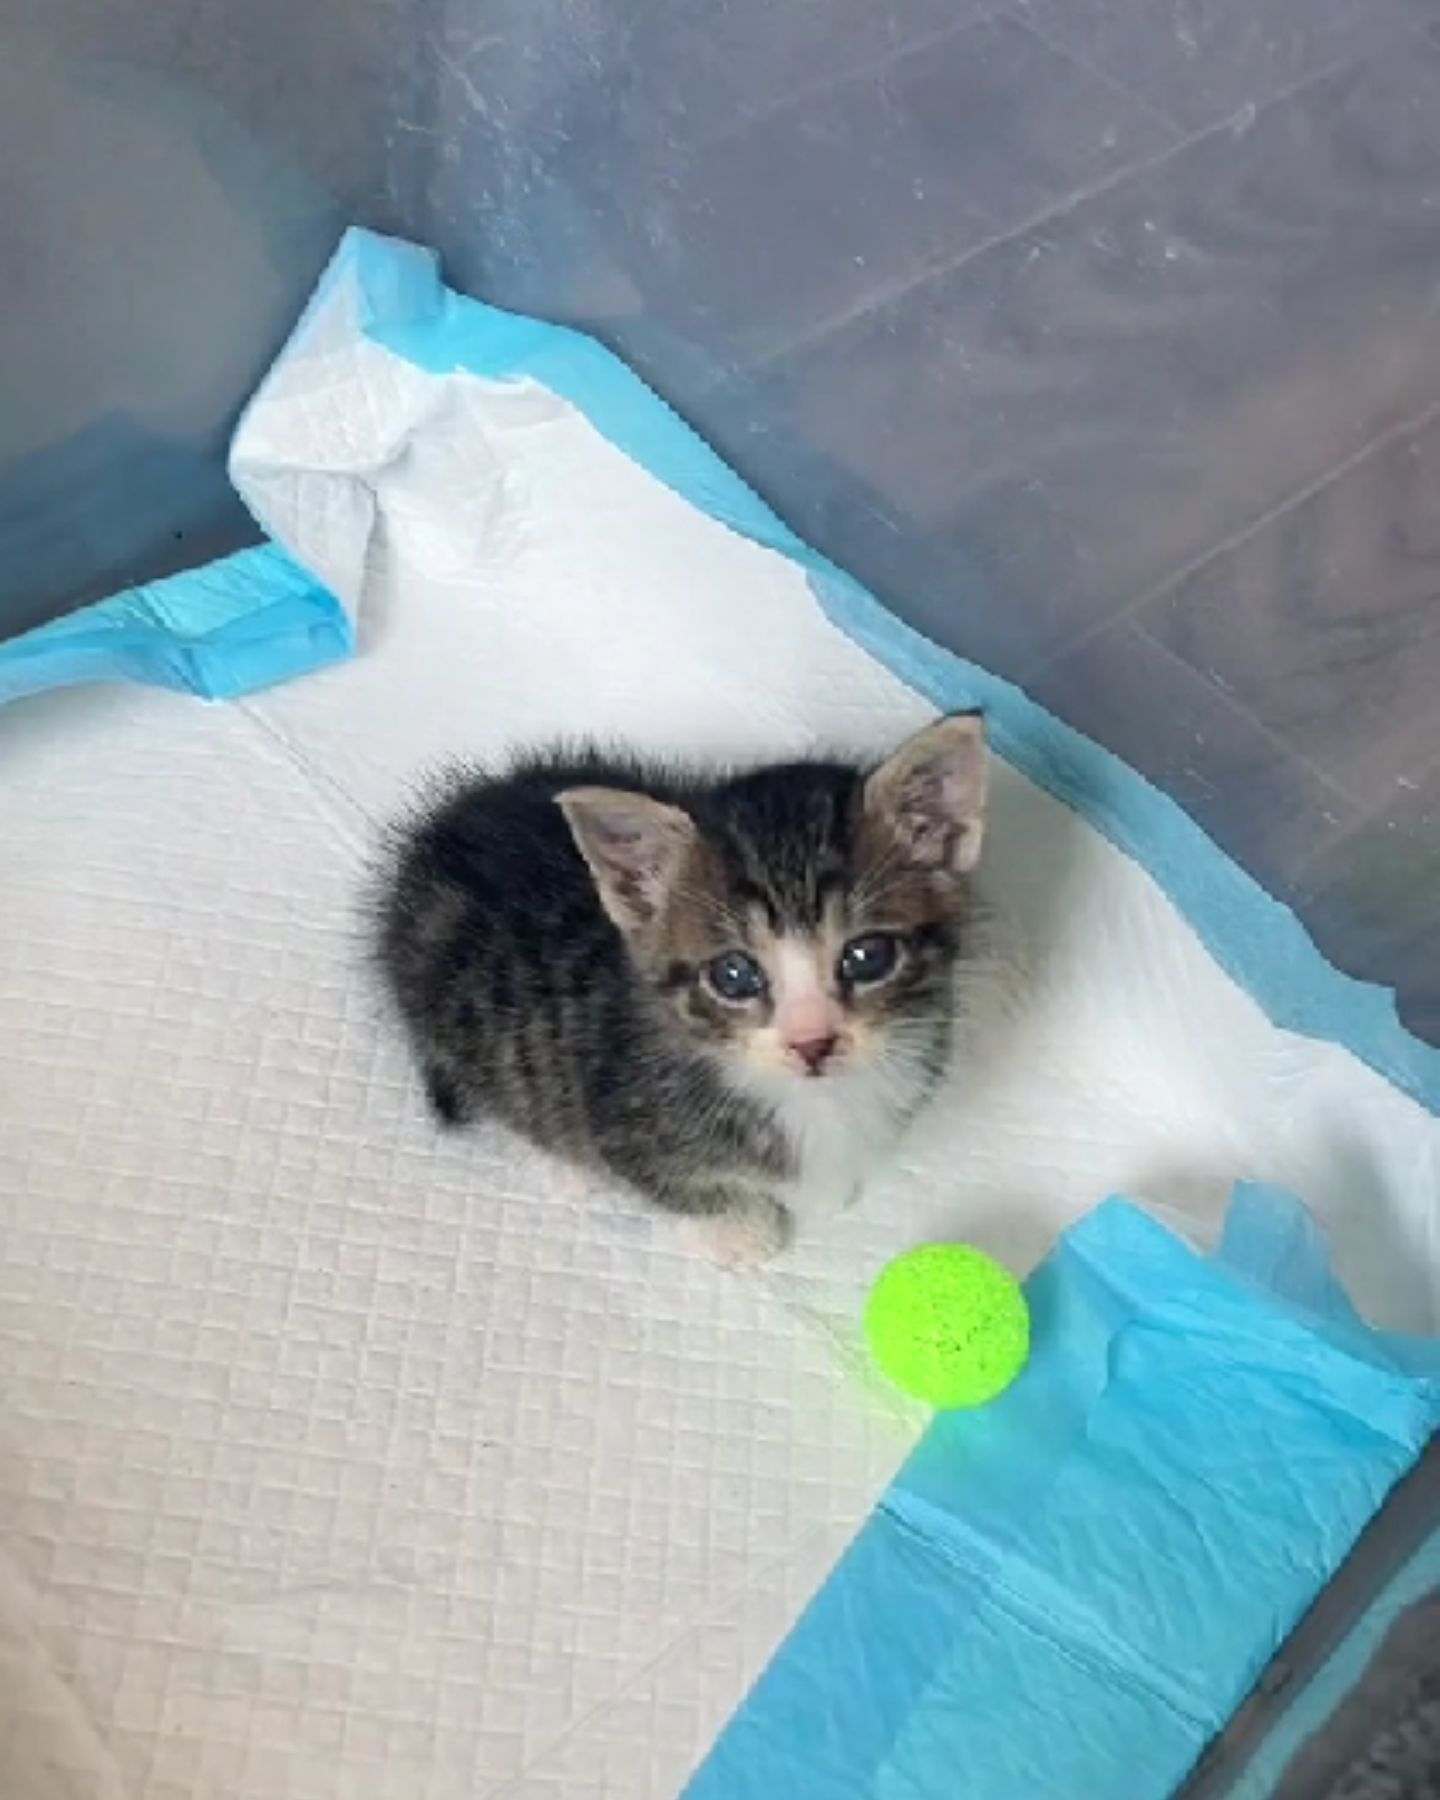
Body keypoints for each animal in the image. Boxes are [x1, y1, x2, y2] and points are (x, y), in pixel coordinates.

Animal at [370, 709, 993, 1260]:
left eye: (867, 957)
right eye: (734, 974)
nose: (813, 1044)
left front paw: (832, 1190)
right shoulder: (623, 1129)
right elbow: (679, 1188)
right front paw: (741, 1230)